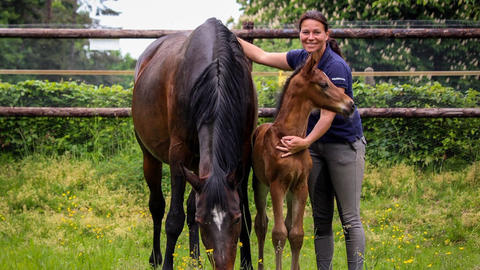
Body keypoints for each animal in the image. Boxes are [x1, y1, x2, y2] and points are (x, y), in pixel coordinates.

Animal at [133, 17, 256, 268]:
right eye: (204, 222)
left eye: (235, 219)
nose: (222, 265)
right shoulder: (178, 154)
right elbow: (174, 219)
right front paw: (167, 264)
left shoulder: (244, 153)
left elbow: (246, 214)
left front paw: (247, 263)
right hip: (150, 157)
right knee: (157, 207)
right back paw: (156, 257)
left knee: (189, 204)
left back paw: (195, 260)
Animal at [253, 51, 354, 270]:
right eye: (323, 84)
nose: (350, 105)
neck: (287, 137)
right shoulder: (277, 185)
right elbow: (279, 234)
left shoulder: (301, 186)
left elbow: (296, 234)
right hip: (260, 185)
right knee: (261, 223)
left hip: (291, 192)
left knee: (288, 224)